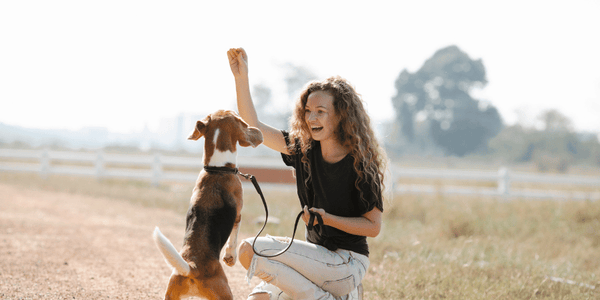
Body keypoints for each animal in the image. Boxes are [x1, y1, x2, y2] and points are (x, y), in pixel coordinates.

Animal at [152, 110, 262, 300]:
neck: (217, 168)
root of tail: (192, 267)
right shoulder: (238, 215)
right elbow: (233, 239)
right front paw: (230, 257)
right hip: (226, 294)